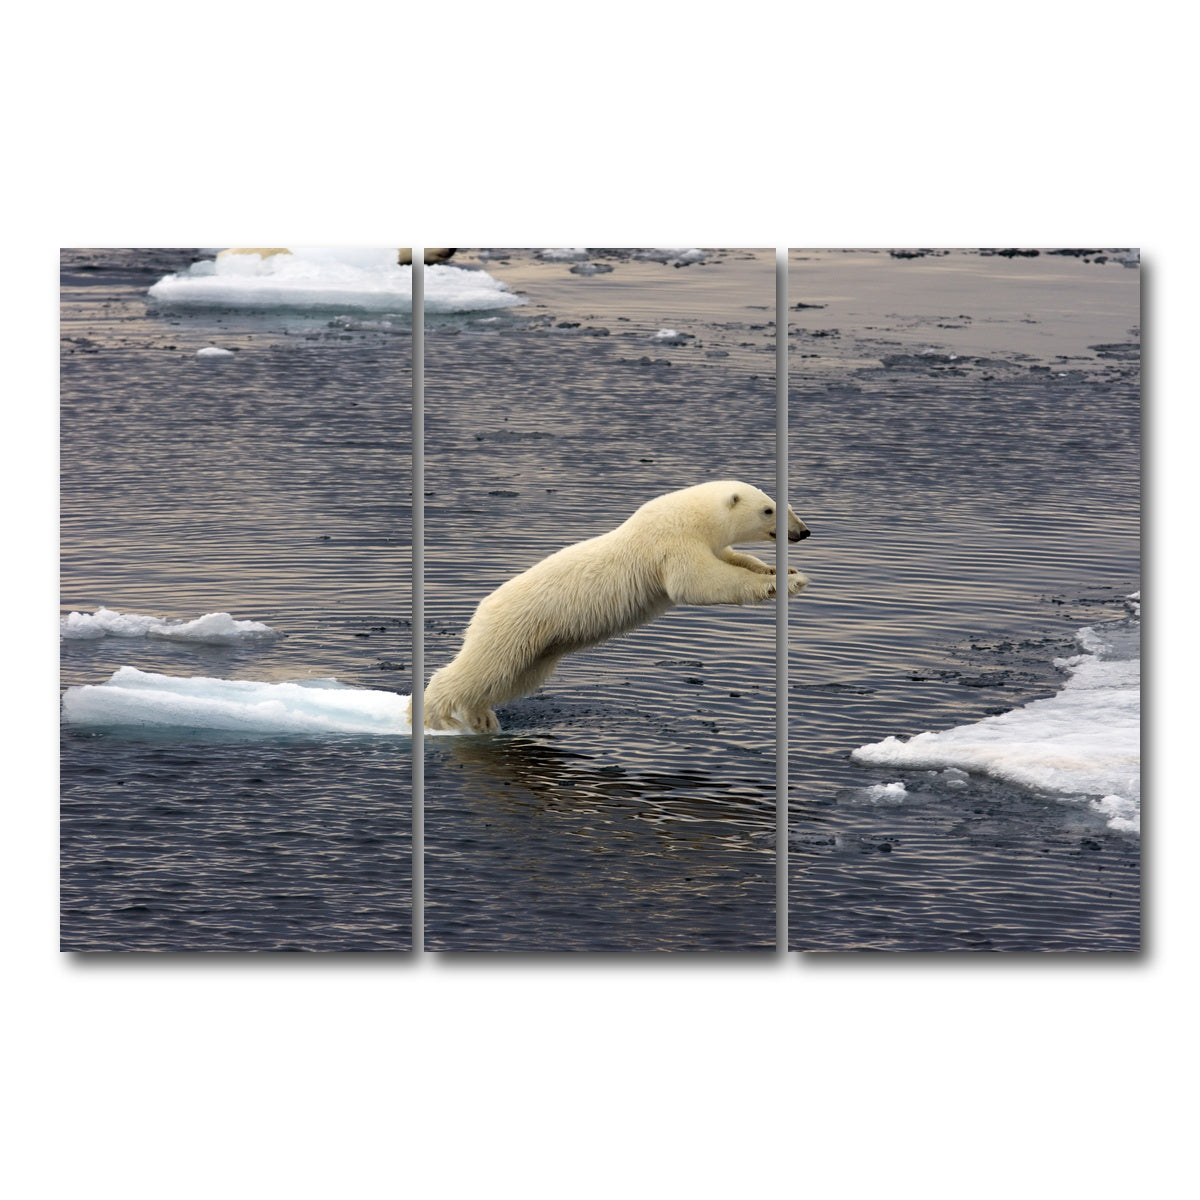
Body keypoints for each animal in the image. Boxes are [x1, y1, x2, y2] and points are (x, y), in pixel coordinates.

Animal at [421, 480, 810, 733]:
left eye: (786, 505)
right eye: (769, 509)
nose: (803, 532)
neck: (691, 515)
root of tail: (483, 608)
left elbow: (734, 559)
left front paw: (782, 570)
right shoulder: (671, 544)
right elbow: (699, 582)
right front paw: (782, 583)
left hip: (540, 647)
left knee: (511, 678)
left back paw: (481, 717)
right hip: (515, 627)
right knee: (482, 669)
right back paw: (432, 716)